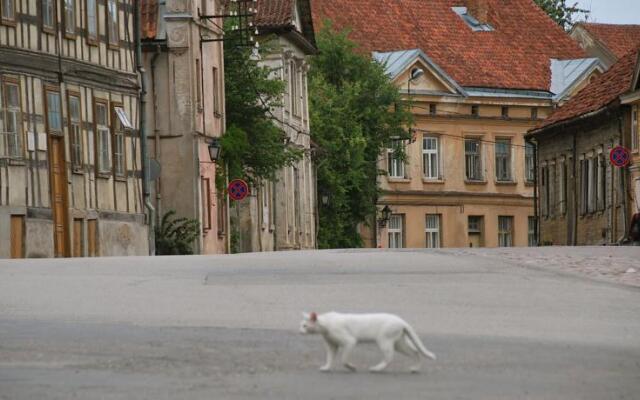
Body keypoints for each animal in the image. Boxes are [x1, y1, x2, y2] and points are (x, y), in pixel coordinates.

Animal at [300, 310, 436, 374]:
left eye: (305, 326)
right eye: (301, 325)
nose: (300, 331)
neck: (326, 324)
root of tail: (401, 321)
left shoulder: (349, 341)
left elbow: (343, 359)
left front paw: (352, 367)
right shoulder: (332, 345)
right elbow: (329, 358)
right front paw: (326, 367)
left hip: (384, 340)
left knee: (389, 357)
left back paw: (376, 369)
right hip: (399, 343)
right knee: (415, 352)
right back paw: (415, 369)